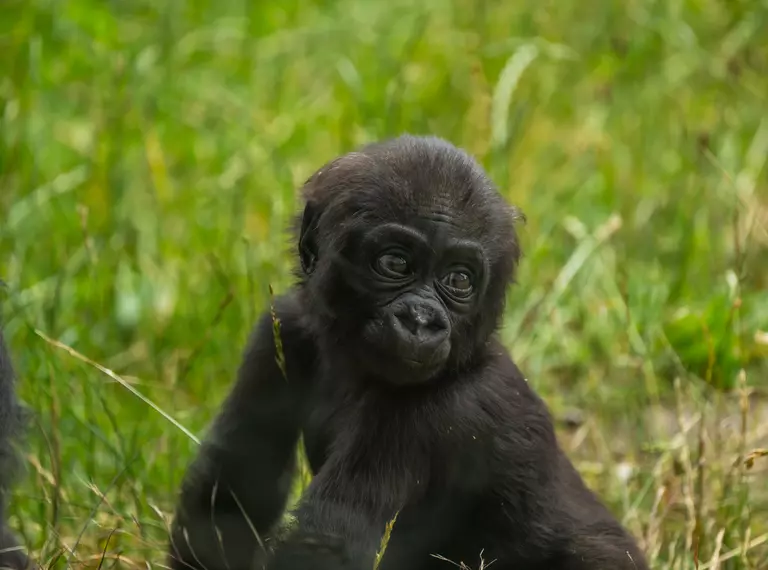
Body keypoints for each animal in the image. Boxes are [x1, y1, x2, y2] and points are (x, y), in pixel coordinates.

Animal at [168, 136, 648, 568]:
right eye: (396, 263)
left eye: (459, 279)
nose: (420, 320)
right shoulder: (283, 330)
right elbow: (232, 490)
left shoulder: (436, 411)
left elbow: (324, 544)